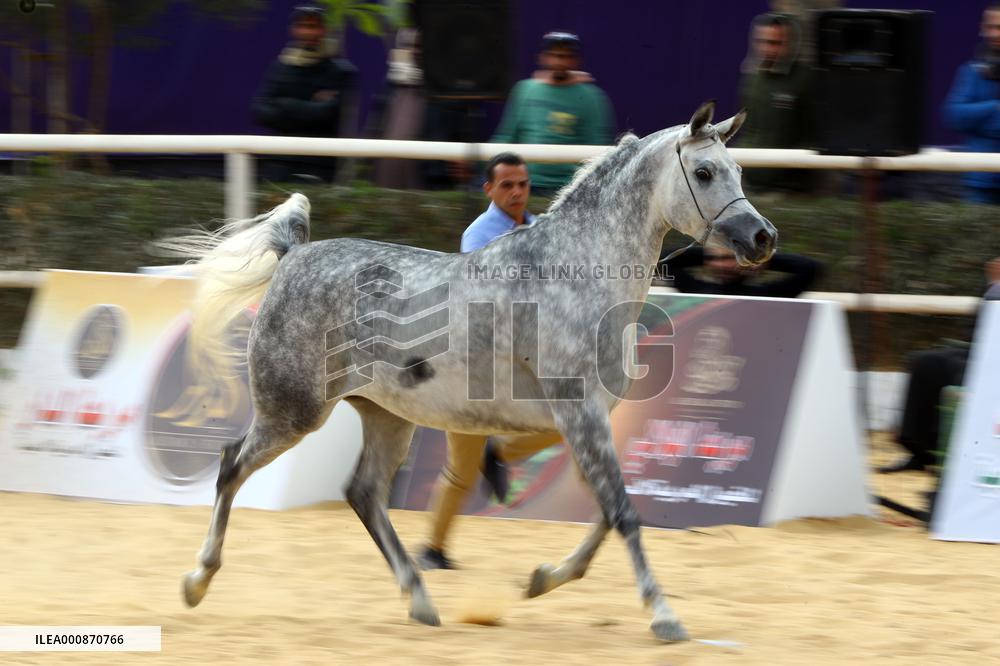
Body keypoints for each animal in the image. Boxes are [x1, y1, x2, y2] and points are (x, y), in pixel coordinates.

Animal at [167, 101, 776, 642]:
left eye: (740, 170)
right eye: (704, 172)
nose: (762, 237)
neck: (573, 276)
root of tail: (293, 257)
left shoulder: (585, 421)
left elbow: (608, 511)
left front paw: (541, 579)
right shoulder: (580, 415)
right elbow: (624, 513)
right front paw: (664, 618)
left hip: (386, 416)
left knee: (363, 493)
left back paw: (420, 601)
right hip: (294, 411)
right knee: (231, 465)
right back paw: (196, 582)